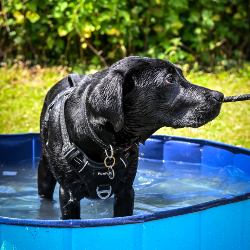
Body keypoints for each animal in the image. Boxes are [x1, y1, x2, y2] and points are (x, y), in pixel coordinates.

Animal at [37, 56, 223, 219]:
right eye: (170, 79)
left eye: (181, 74)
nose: (219, 96)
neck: (105, 145)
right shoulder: (68, 195)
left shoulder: (126, 191)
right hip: (45, 171)